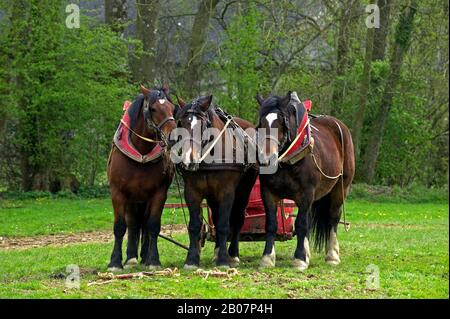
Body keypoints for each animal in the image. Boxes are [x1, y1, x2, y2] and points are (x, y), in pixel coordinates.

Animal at [107, 85, 176, 272]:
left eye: (173, 107)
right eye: (153, 109)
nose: (174, 137)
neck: (141, 152)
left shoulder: (159, 194)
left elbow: (153, 225)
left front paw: (153, 260)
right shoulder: (117, 193)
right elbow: (120, 226)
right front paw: (115, 262)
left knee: (143, 223)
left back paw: (144, 255)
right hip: (132, 199)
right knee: (133, 223)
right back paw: (130, 257)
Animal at [173, 95, 256, 270]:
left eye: (202, 126)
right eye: (181, 123)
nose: (189, 159)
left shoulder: (227, 192)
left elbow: (224, 224)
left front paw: (224, 260)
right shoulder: (192, 192)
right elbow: (195, 225)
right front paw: (191, 259)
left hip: (244, 190)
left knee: (237, 218)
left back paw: (233, 254)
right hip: (212, 196)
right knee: (217, 217)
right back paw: (217, 251)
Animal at [256, 91, 356, 272]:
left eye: (281, 122)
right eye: (261, 122)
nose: (266, 158)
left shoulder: (306, 193)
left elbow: (301, 223)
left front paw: (300, 259)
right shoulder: (268, 193)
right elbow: (272, 223)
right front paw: (267, 258)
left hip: (340, 188)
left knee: (333, 217)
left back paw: (332, 255)